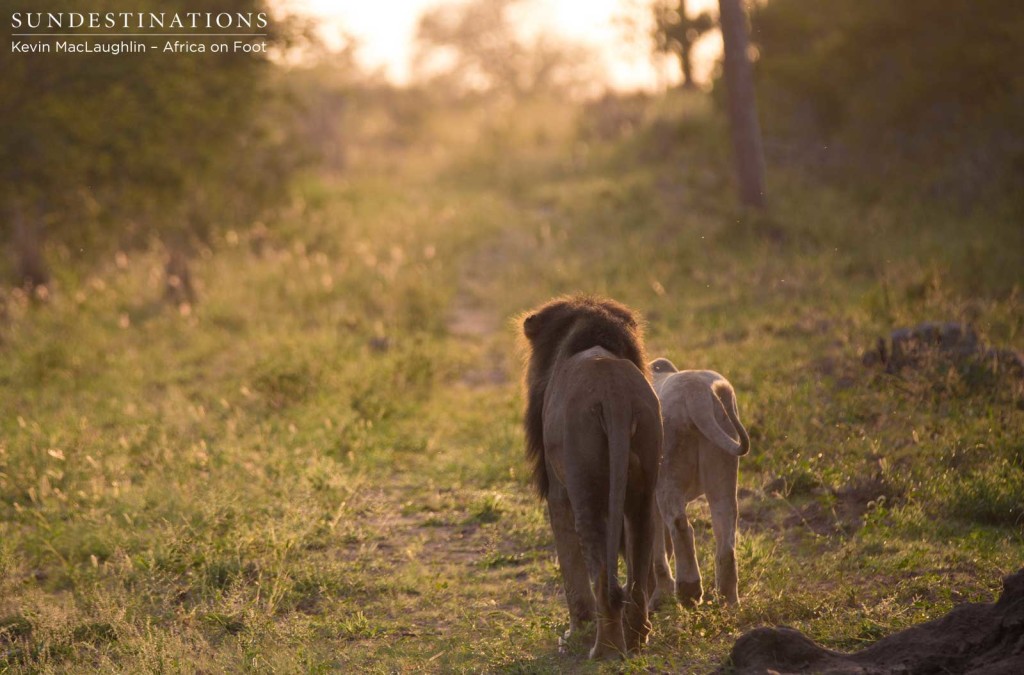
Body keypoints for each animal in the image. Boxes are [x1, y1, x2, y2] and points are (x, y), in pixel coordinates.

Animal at [524, 297, 659, 659]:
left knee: (599, 574)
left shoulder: (558, 492)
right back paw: (637, 639)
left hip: (584, 484)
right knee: (638, 574)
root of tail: (614, 395)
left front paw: (576, 633)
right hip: (644, 486)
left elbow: (570, 565)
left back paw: (604, 649)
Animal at [651, 358, 749, 606]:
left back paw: (689, 591)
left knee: (680, 525)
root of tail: (697, 396)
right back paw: (729, 602)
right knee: (726, 535)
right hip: (723, 470)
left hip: (668, 473)